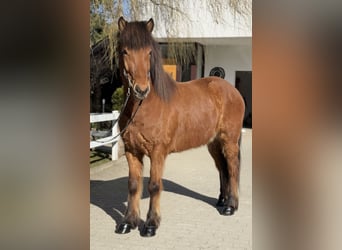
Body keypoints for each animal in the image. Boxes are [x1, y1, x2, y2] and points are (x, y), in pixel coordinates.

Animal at [116, 17, 244, 236]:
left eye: (149, 52)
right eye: (125, 51)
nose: (141, 89)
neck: (143, 106)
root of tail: (232, 90)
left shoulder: (158, 152)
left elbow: (154, 185)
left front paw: (151, 224)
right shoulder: (132, 151)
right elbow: (133, 185)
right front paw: (128, 222)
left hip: (229, 140)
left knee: (233, 168)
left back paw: (230, 206)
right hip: (214, 143)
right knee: (222, 168)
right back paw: (222, 200)